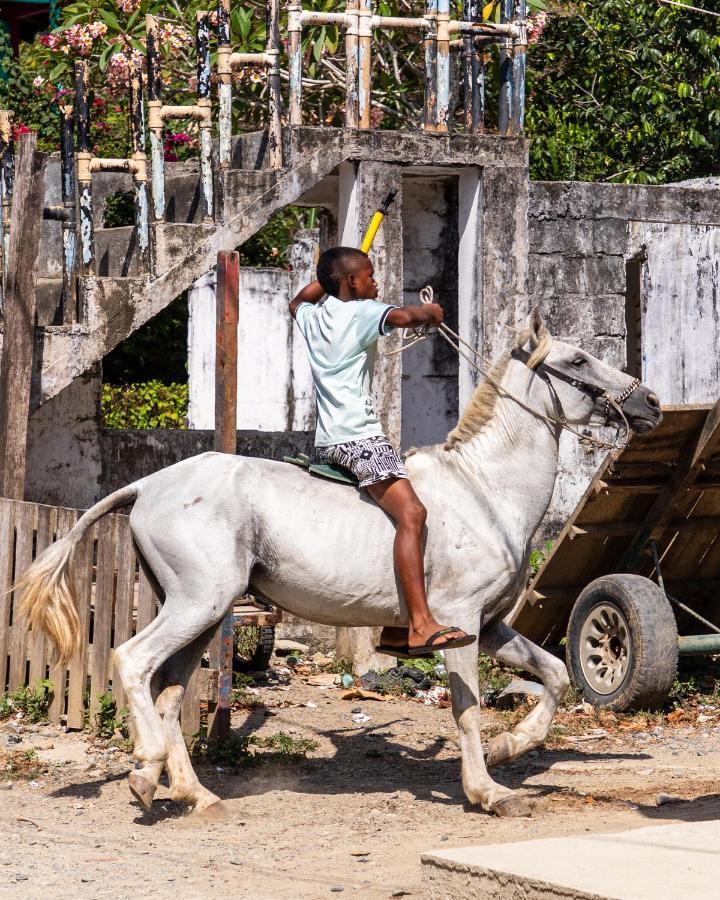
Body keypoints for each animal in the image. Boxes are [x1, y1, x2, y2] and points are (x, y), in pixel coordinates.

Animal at [16, 310, 660, 816]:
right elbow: (469, 710)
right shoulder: (460, 625)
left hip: (203, 613)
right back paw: (147, 766)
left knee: (169, 691)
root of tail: (148, 484)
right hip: (199, 603)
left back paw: (185, 792)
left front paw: (510, 750)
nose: (650, 401)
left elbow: (553, 675)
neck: (484, 491)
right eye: (578, 360)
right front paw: (488, 791)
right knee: (132, 660)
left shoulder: (493, 624)